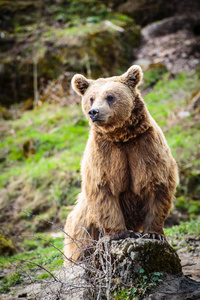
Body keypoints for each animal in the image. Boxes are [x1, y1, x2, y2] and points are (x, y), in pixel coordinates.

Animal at [63, 64, 178, 264]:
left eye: (110, 96)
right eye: (91, 98)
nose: (94, 112)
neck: (121, 137)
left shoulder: (146, 150)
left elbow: (158, 186)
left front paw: (154, 233)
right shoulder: (104, 157)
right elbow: (104, 192)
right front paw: (121, 233)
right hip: (82, 224)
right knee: (80, 244)